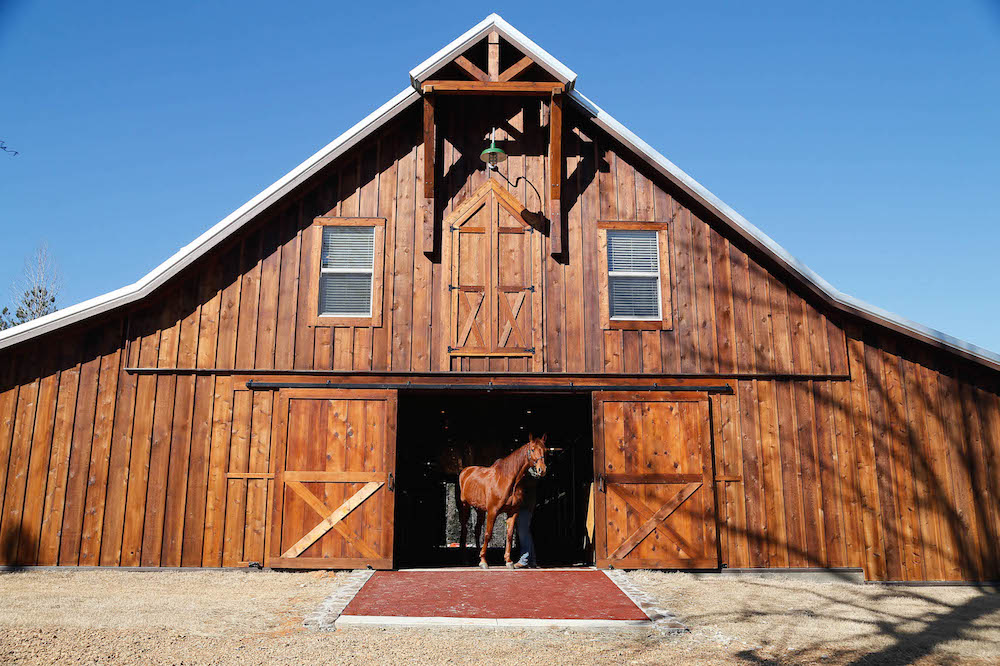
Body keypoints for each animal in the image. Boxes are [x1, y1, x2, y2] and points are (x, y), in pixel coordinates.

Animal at [457, 433, 548, 569]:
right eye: (532, 449)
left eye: (545, 450)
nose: (542, 470)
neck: (507, 479)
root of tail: (465, 471)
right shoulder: (492, 511)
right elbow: (488, 534)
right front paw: (484, 561)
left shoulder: (513, 512)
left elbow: (509, 535)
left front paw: (508, 561)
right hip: (465, 506)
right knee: (464, 530)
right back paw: (465, 559)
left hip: (480, 510)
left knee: (477, 530)